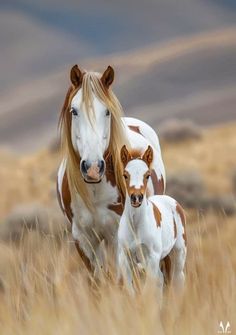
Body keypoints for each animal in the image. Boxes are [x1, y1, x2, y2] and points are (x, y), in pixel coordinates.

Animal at [56, 65, 166, 276]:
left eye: (107, 111)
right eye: (74, 111)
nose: (92, 168)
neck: (95, 192)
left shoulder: (117, 237)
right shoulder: (83, 240)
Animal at [117, 144, 186, 296]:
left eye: (147, 175)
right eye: (125, 175)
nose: (136, 198)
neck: (136, 225)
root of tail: (172, 201)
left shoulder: (152, 257)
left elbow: (147, 289)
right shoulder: (125, 258)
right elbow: (131, 290)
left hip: (179, 252)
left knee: (178, 279)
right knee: (160, 280)